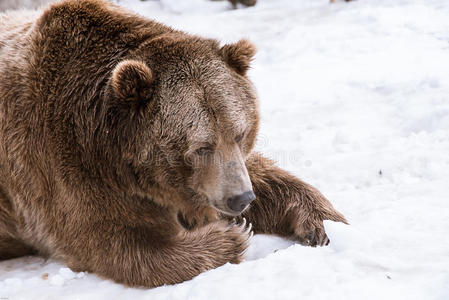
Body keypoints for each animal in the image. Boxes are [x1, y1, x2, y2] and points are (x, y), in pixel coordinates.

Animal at [0, 0, 346, 288]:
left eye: (240, 133)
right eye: (201, 147)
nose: (240, 199)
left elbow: (265, 175)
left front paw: (320, 223)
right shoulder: (65, 167)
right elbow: (121, 244)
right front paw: (231, 236)